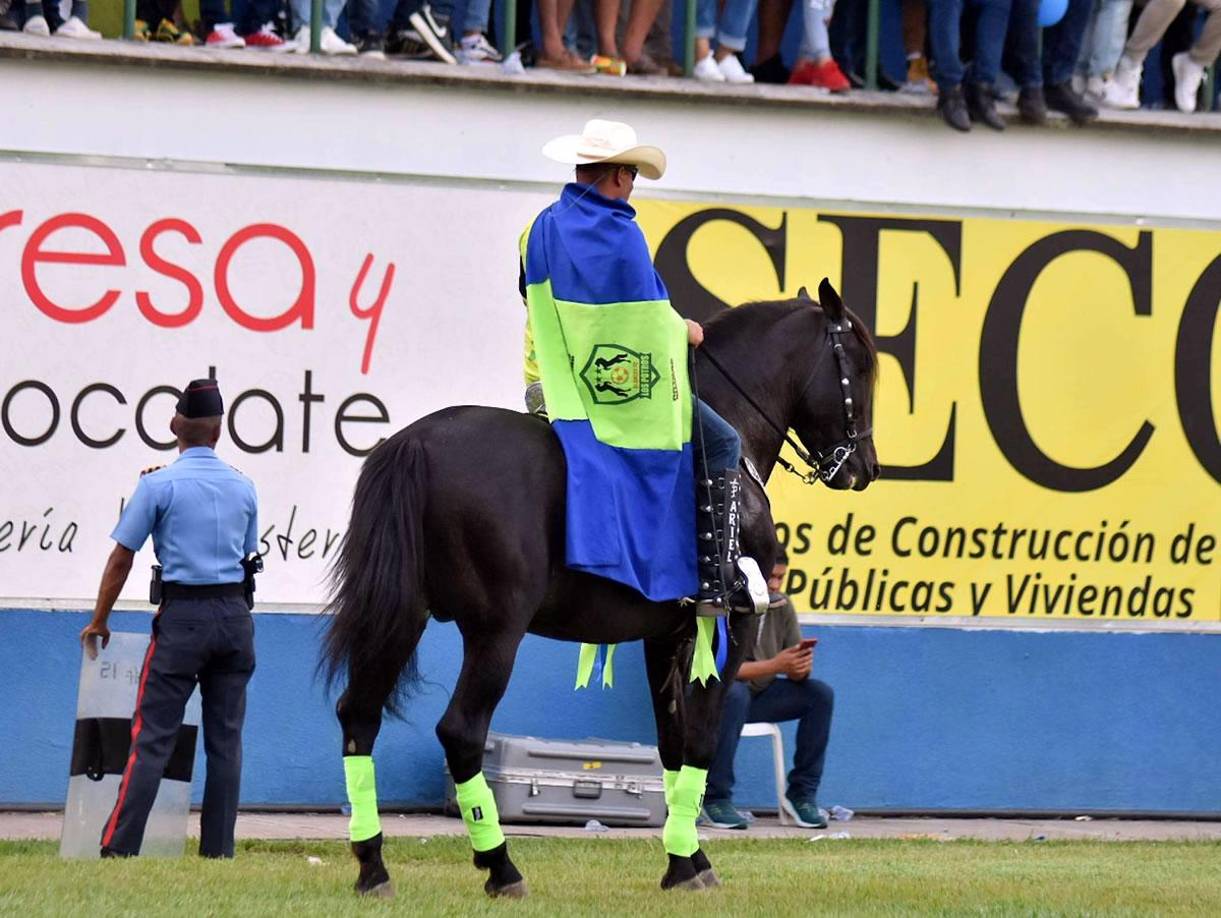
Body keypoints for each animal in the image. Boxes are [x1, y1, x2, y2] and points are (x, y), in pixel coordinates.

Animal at [321, 278, 879, 899]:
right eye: (860, 365)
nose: (864, 468)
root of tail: (417, 442)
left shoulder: (666, 635)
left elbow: (672, 744)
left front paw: (682, 862)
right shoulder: (732, 623)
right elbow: (703, 740)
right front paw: (694, 861)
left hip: (404, 617)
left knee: (359, 716)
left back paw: (373, 868)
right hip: (496, 632)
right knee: (461, 731)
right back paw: (501, 868)